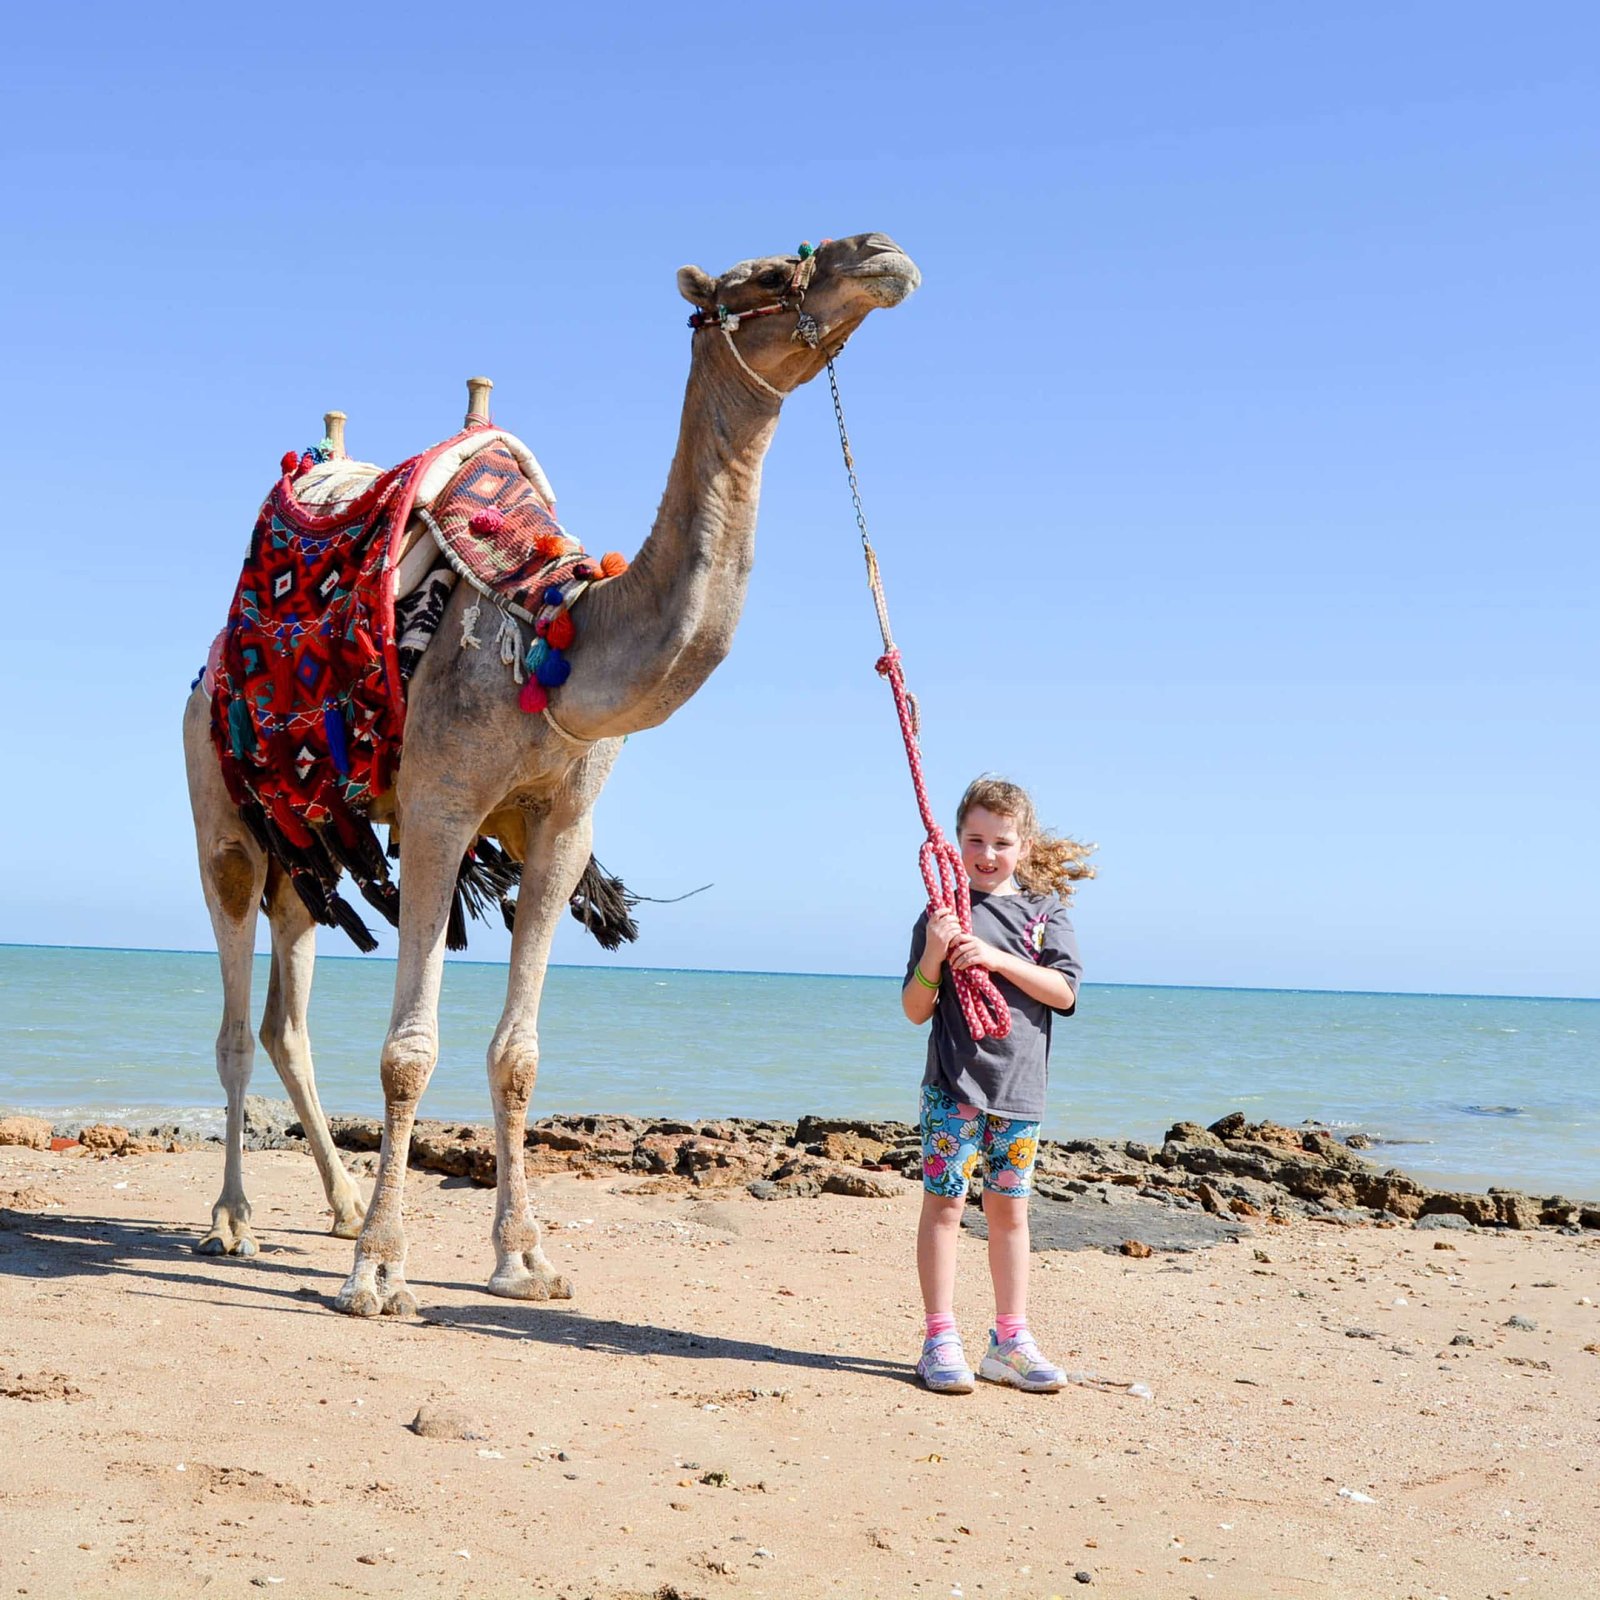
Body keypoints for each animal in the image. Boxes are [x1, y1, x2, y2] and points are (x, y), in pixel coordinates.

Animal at [182, 232, 920, 1315]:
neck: (561, 632)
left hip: (308, 843)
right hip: (224, 820)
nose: (883, 253)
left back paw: (338, 1203)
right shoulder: (442, 807)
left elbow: (518, 1053)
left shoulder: (561, 824)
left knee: (286, 1018)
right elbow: (408, 1053)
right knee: (237, 1020)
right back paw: (234, 1219)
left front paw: (523, 1260)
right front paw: (381, 1272)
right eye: (760, 274)